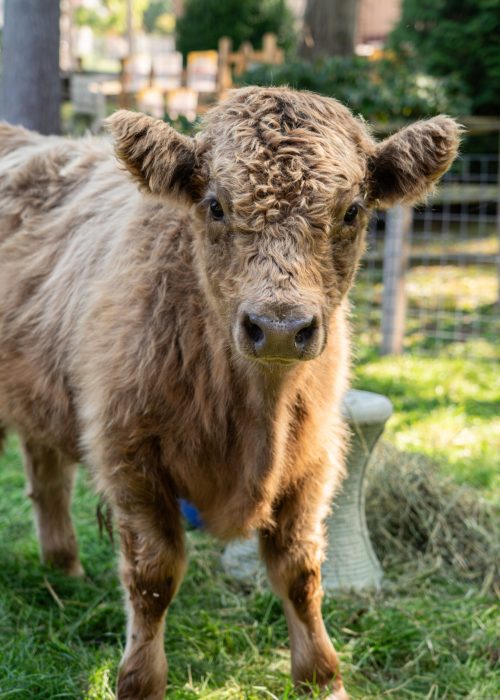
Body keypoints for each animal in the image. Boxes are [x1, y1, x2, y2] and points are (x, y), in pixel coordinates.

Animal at [0, 87, 460, 699]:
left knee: (47, 475)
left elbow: (301, 572)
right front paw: (140, 682)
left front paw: (323, 679)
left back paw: (65, 571)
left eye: (352, 211)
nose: (280, 326)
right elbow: (153, 574)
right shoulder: (127, 454)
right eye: (216, 205)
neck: (252, 417)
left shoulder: (315, 460)